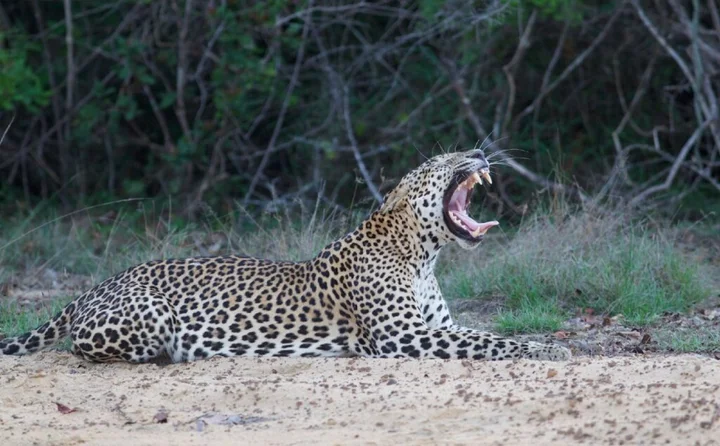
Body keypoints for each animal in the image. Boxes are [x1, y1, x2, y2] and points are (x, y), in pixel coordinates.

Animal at [0, 149, 571, 363]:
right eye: (445, 159)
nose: (478, 153)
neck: (422, 256)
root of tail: (92, 287)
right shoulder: (402, 336)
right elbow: (491, 340)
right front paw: (547, 350)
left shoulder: (435, 326)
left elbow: (483, 333)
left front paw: (547, 345)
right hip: (151, 314)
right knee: (86, 349)